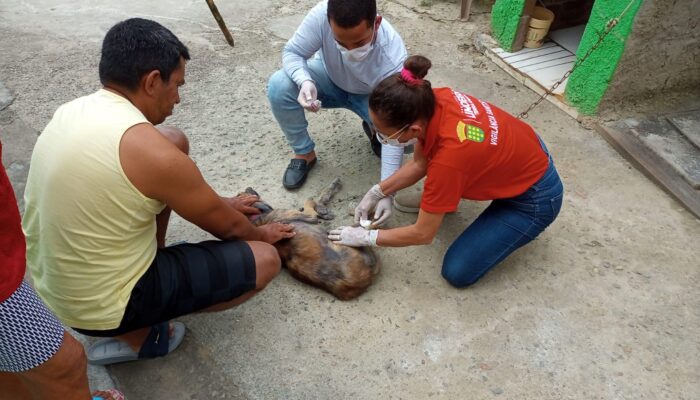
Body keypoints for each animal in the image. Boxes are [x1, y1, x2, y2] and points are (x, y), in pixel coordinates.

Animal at [245, 179, 380, 300]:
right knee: (369, 224)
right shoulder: (310, 215)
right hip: (346, 236)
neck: (256, 218)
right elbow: (310, 200)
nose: (248, 187)